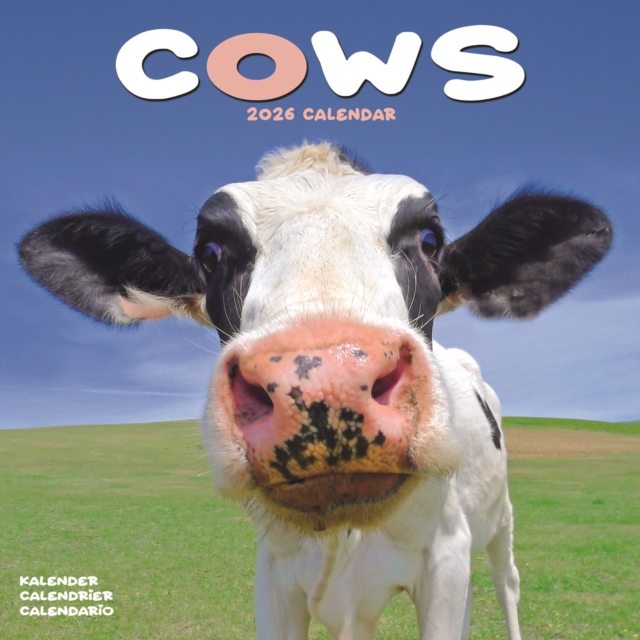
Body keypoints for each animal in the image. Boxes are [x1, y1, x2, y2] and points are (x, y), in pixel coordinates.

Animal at [18, 142, 612, 640]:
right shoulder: (274, 577)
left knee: (508, 582)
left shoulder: (447, 560)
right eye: (210, 252)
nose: (326, 380)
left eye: (429, 241)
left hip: (501, 519)